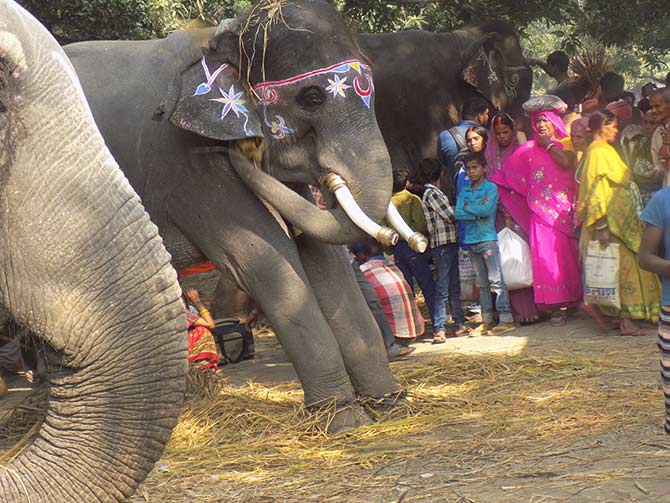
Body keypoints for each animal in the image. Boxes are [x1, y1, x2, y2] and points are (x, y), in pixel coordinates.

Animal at [63, 0, 422, 434]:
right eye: (312, 97)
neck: (220, 39)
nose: (244, 152)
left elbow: (324, 260)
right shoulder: (184, 164)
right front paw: (342, 419)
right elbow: (263, 262)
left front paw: (389, 407)